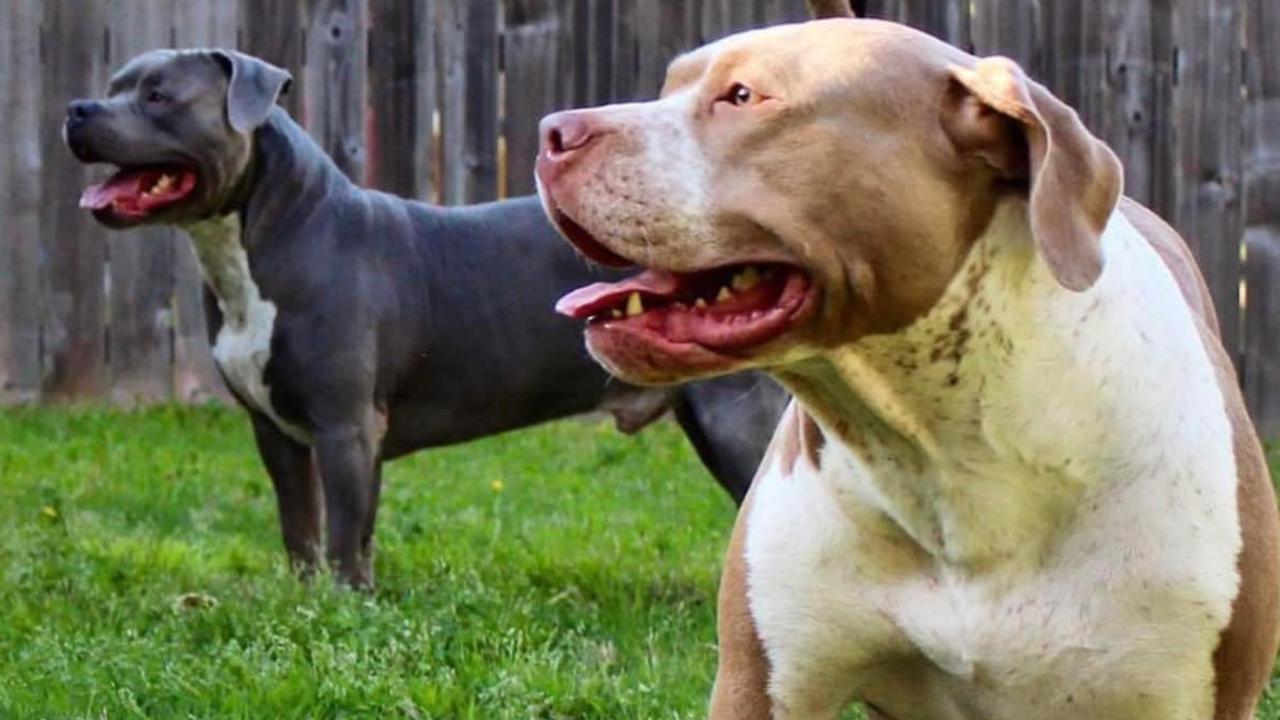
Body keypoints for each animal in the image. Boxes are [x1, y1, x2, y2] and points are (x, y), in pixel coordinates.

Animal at [62, 51, 788, 589]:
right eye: (114, 86)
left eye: (158, 96)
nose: (76, 109)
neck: (258, 242)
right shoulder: (281, 433)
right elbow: (306, 528)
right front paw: (305, 600)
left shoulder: (345, 427)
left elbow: (343, 534)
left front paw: (342, 611)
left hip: (734, 419)